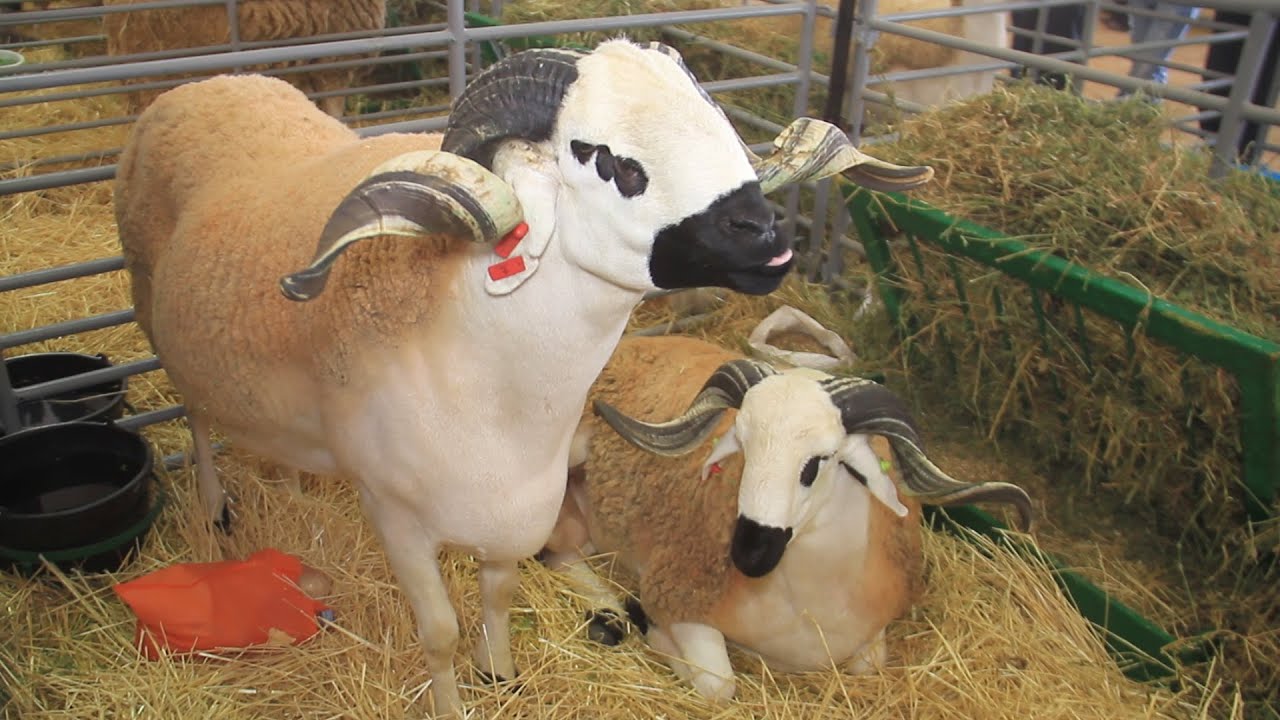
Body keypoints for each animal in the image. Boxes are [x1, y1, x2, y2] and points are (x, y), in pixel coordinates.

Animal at [113, 39, 934, 717]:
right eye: (604, 159)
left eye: (718, 125)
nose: (767, 236)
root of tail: (213, 80)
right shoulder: (396, 516)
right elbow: (438, 632)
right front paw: (453, 703)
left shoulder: (518, 508)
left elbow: (501, 595)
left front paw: (501, 674)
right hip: (154, 312)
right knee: (194, 415)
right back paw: (215, 507)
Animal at [542, 334, 1034, 701]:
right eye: (741, 443)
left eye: (820, 461)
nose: (749, 555)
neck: (805, 603)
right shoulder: (676, 593)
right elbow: (719, 684)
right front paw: (654, 632)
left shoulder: (871, 633)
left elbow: (869, 663)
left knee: (566, 549)